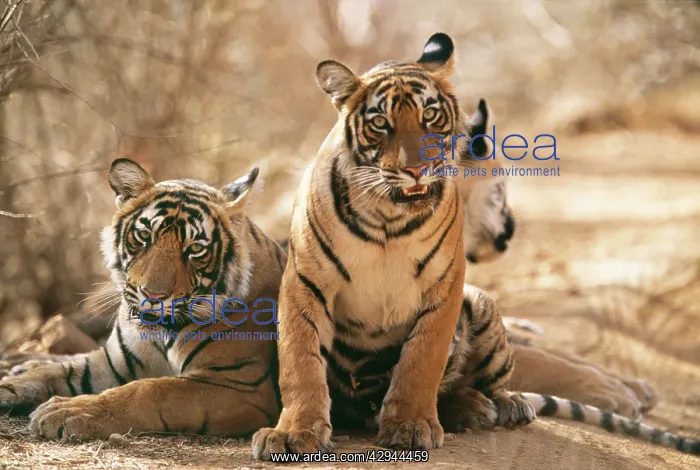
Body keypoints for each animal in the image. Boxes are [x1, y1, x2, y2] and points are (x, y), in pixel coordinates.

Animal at [0, 158, 286, 440]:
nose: (152, 295)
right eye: (145, 236)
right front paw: (12, 384)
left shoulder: (240, 385)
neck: (162, 334)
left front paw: (69, 410)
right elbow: (54, 372)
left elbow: (149, 391)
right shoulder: (113, 363)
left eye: (194, 249)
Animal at [251, 32, 700, 458]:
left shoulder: (447, 289)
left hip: (479, 306)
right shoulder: (305, 283)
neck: (389, 217)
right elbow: (301, 361)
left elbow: (425, 359)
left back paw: (494, 405)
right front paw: (294, 433)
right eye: (380, 124)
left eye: (430, 116)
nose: (510, 230)